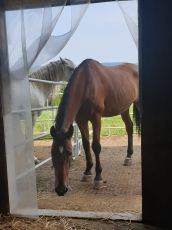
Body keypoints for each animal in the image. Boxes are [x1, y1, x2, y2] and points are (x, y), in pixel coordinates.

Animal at [49, 58, 140, 196]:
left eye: (70, 153)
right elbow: (86, 144)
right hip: (124, 108)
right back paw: (128, 157)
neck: (87, 83)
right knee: (129, 127)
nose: (60, 189)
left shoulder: (96, 118)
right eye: (52, 153)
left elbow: (96, 146)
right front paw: (87, 172)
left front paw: (98, 177)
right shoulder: (81, 120)